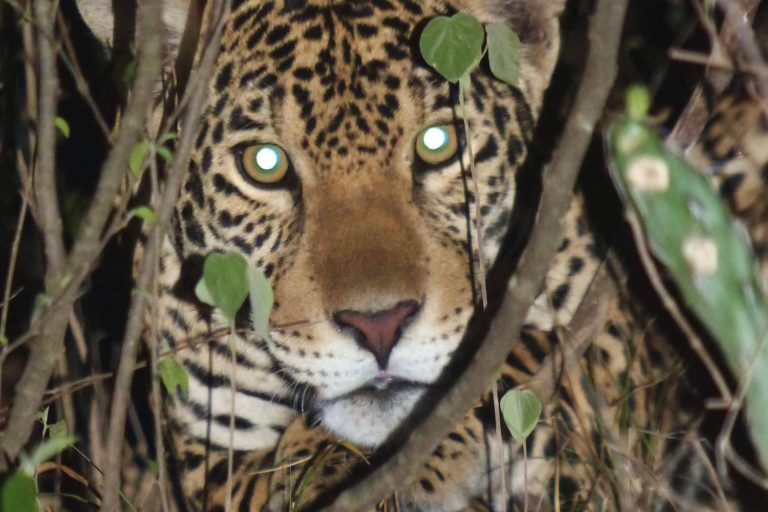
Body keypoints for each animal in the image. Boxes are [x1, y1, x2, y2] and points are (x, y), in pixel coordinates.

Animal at [71, 0, 768, 510]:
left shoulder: (615, 343)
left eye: (439, 144)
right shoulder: (210, 451)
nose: (378, 325)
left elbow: (515, 358)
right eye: (263, 164)